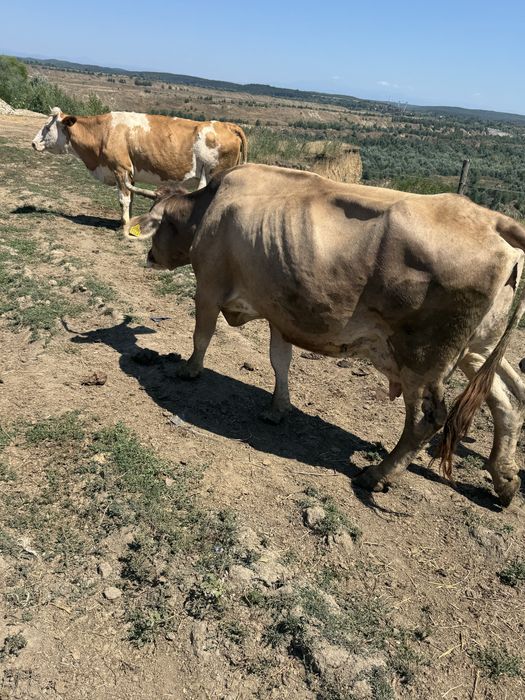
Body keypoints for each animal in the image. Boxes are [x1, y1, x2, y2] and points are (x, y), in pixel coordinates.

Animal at [31, 108, 247, 225]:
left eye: (47, 127)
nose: (33, 143)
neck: (103, 132)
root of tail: (227, 125)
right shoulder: (130, 174)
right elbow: (132, 198)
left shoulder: (120, 169)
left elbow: (123, 199)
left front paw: (124, 224)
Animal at [124, 163, 525, 507]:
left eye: (158, 225)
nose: (150, 256)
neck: (210, 208)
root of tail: (488, 218)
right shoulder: (281, 310)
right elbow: (279, 360)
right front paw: (279, 408)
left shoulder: (208, 287)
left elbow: (202, 335)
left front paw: (189, 370)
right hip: (477, 349)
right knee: (507, 400)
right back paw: (504, 476)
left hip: (422, 358)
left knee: (427, 419)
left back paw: (378, 474)